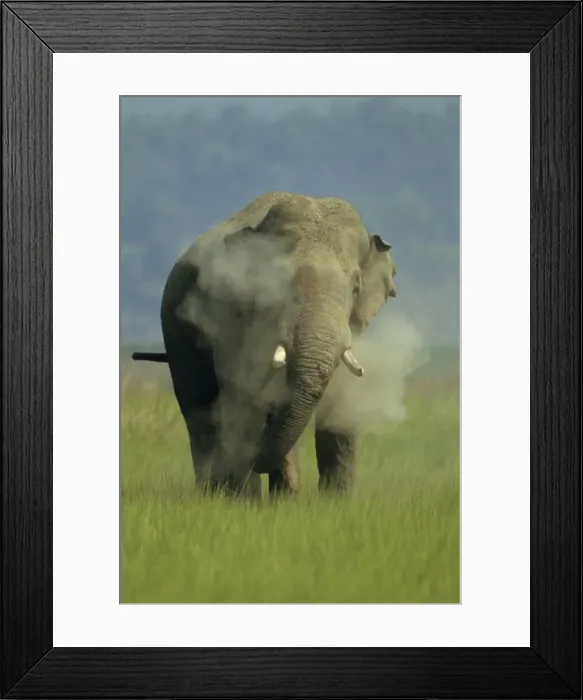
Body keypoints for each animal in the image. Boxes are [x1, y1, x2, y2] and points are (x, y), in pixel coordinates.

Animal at [133, 191, 397, 498]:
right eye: (279, 281)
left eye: (356, 289)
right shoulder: (232, 310)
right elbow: (245, 390)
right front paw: (244, 501)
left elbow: (341, 400)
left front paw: (335, 502)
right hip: (176, 330)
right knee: (198, 404)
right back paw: (215, 492)